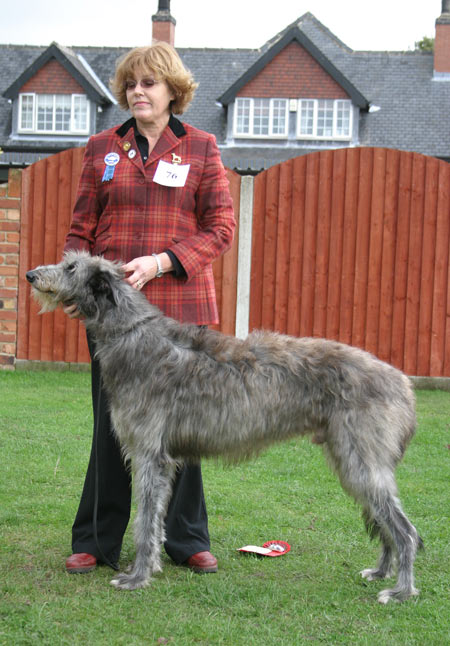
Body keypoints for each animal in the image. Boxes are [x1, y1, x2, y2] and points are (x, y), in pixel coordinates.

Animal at [27, 252, 422, 604]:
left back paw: (400, 591)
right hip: (351, 461)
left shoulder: (149, 455)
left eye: (71, 266)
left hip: (361, 462)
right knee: (387, 524)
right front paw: (148, 569)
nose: (31, 274)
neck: (132, 333)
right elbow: (154, 521)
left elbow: (144, 521)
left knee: (406, 531)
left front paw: (137, 577)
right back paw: (381, 572)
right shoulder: (156, 458)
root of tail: (401, 381)